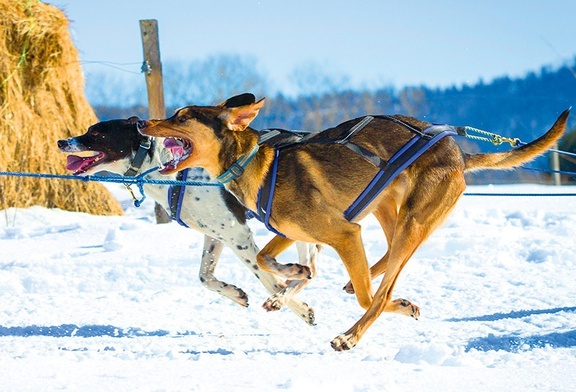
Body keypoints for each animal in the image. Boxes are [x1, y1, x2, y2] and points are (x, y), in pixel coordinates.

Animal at [56, 117, 318, 324]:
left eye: (96, 132)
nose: (61, 142)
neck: (165, 168)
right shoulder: (216, 235)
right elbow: (204, 276)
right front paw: (234, 293)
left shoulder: (238, 235)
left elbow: (268, 279)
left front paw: (295, 307)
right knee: (311, 268)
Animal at [137, 93, 568, 350]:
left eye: (182, 117)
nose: (141, 123)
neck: (255, 165)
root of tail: (458, 151)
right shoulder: (292, 231)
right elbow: (267, 259)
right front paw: (291, 276)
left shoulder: (344, 232)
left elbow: (365, 296)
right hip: (388, 211)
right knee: (388, 261)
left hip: (412, 221)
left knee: (377, 292)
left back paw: (354, 331)